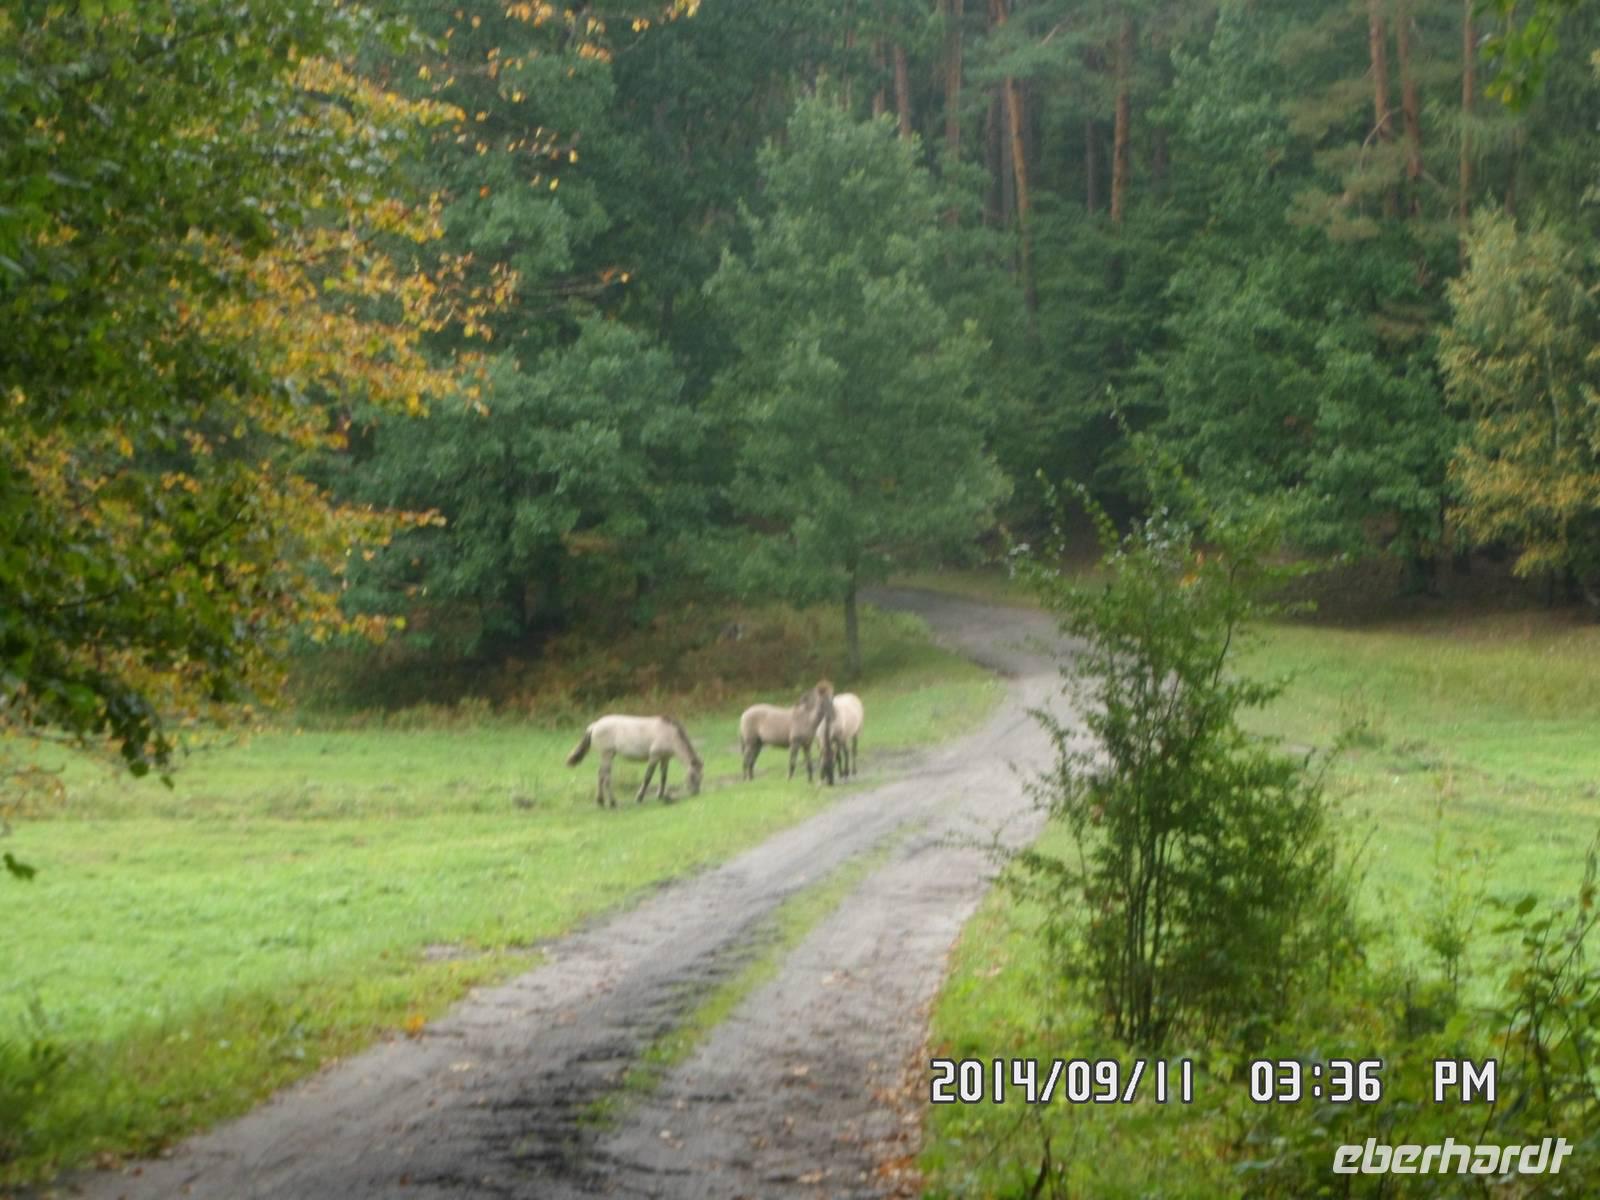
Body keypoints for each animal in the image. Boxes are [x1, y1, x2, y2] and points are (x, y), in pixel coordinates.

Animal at [565, 715, 703, 808]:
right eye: (693, 776)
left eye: (701, 776)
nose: (696, 793)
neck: (670, 735)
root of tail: (594, 725)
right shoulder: (654, 757)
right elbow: (648, 777)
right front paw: (639, 798)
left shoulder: (665, 758)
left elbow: (664, 777)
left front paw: (661, 795)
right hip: (607, 755)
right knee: (606, 777)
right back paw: (612, 802)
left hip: (608, 755)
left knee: (600, 775)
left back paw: (601, 801)